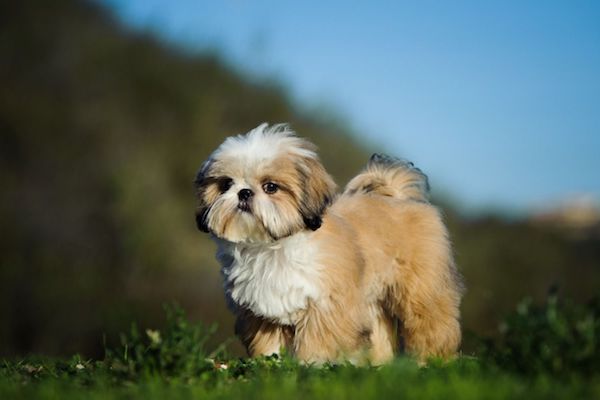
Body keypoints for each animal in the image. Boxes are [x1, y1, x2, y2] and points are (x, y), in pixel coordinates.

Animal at [196, 123, 464, 364]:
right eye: (225, 184)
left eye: (270, 187)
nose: (243, 192)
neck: (273, 247)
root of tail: (398, 197)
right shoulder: (261, 312)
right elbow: (269, 344)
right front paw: (269, 365)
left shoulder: (326, 307)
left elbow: (317, 343)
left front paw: (311, 366)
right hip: (373, 302)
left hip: (420, 294)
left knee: (431, 325)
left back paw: (431, 362)